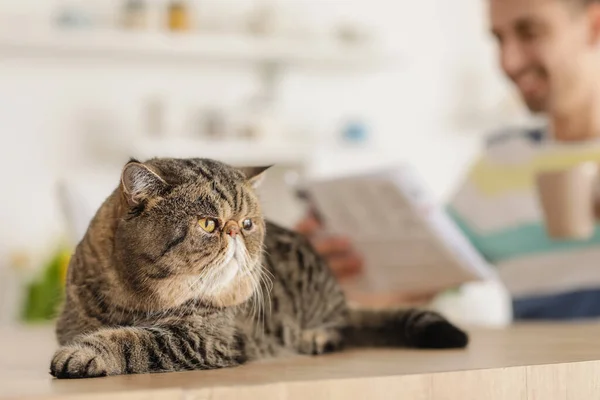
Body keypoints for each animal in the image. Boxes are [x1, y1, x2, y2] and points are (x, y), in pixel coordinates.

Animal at [50, 158, 468, 380]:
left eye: (247, 223)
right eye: (208, 224)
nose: (236, 229)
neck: (138, 301)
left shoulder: (205, 337)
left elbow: (134, 340)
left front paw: (85, 353)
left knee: (340, 328)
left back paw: (315, 337)